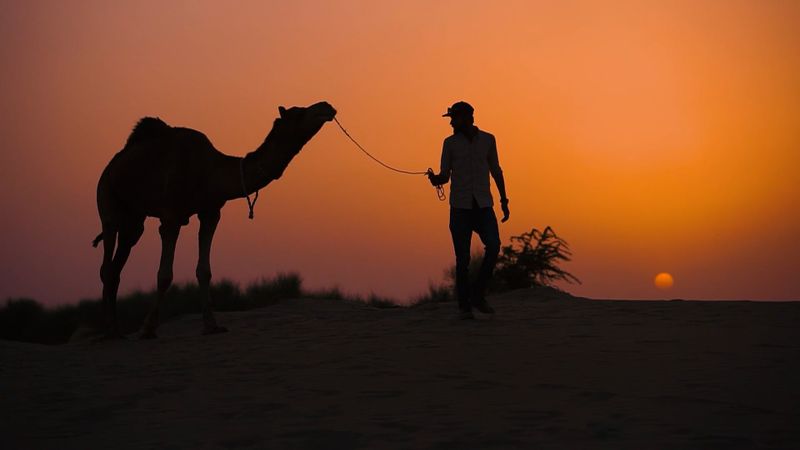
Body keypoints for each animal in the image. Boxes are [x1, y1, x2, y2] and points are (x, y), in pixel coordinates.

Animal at [93, 101, 337, 339]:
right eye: (298, 113)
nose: (326, 106)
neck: (210, 172)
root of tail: (113, 164)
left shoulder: (210, 213)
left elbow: (204, 271)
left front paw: (212, 325)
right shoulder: (171, 217)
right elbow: (164, 275)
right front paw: (148, 327)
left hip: (134, 219)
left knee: (118, 263)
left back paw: (114, 328)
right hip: (107, 198)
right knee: (106, 262)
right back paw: (106, 330)